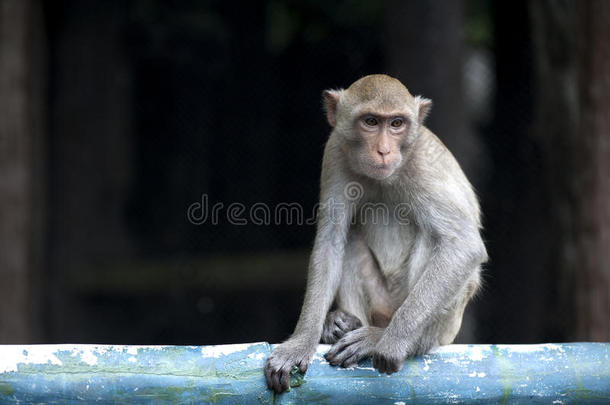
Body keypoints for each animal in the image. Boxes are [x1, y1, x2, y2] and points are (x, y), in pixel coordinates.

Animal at [264, 73, 486, 392]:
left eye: (396, 123)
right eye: (370, 121)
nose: (384, 150)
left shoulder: (423, 163)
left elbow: (463, 245)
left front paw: (390, 342)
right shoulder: (335, 152)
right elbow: (331, 241)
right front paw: (301, 342)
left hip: (443, 323)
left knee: (436, 239)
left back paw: (390, 337)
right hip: (380, 303)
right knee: (350, 240)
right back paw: (343, 323)